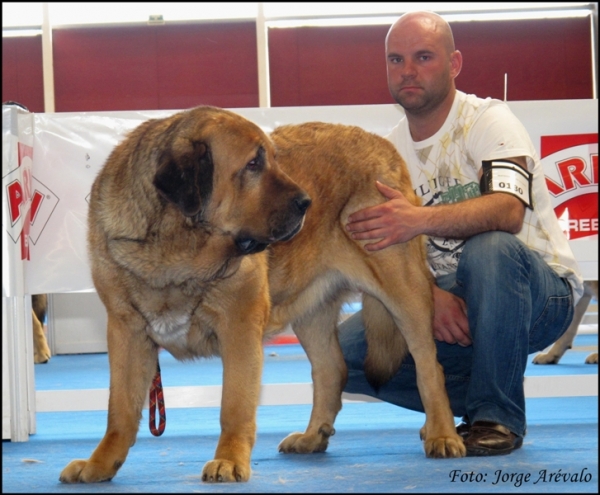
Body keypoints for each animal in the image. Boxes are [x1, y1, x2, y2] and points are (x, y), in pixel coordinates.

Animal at [59, 105, 464, 484]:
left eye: (273, 159)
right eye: (253, 164)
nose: (306, 202)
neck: (176, 250)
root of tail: (383, 143)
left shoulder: (239, 327)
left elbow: (234, 404)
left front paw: (229, 460)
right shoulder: (126, 331)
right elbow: (120, 409)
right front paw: (99, 464)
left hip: (402, 286)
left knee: (429, 365)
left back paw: (442, 434)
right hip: (311, 310)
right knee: (331, 368)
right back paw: (312, 436)